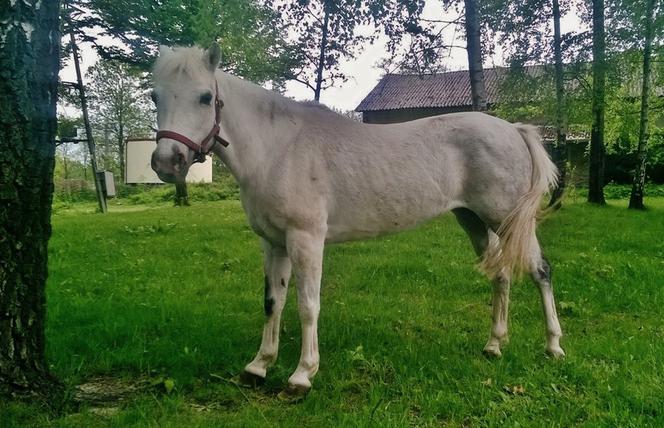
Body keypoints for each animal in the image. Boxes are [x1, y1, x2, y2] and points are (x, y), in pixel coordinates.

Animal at [150, 45, 564, 400]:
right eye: (155, 96)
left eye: (206, 97)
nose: (166, 162)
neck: (279, 148)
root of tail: (514, 130)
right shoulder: (273, 242)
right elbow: (272, 302)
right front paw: (258, 366)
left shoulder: (305, 240)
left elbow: (307, 305)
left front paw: (301, 376)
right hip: (474, 221)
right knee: (501, 275)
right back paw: (494, 345)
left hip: (506, 218)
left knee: (540, 271)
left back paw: (553, 346)